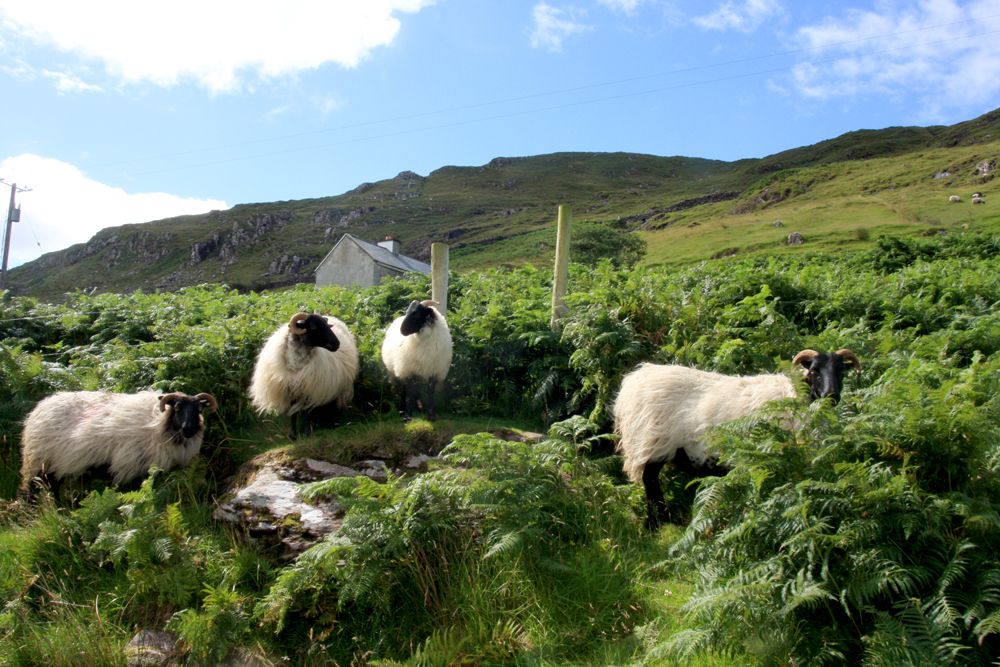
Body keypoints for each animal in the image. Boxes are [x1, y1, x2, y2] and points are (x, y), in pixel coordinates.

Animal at [19, 388, 219, 498]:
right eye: (177, 407)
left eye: (199, 409)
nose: (189, 429)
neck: (159, 426)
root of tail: (39, 408)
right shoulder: (129, 468)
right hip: (38, 462)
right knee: (31, 490)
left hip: (54, 466)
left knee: (53, 489)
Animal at [250, 312, 360, 440]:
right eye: (313, 327)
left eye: (327, 325)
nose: (336, 344)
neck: (296, 365)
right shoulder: (290, 390)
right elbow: (293, 413)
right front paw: (293, 435)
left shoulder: (309, 388)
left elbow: (308, 412)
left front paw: (306, 432)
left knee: (331, 404)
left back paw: (331, 423)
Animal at [612, 348, 864, 528]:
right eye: (814, 371)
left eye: (841, 371)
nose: (831, 395)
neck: (794, 396)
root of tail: (634, 380)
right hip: (653, 442)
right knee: (650, 479)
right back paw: (658, 522)